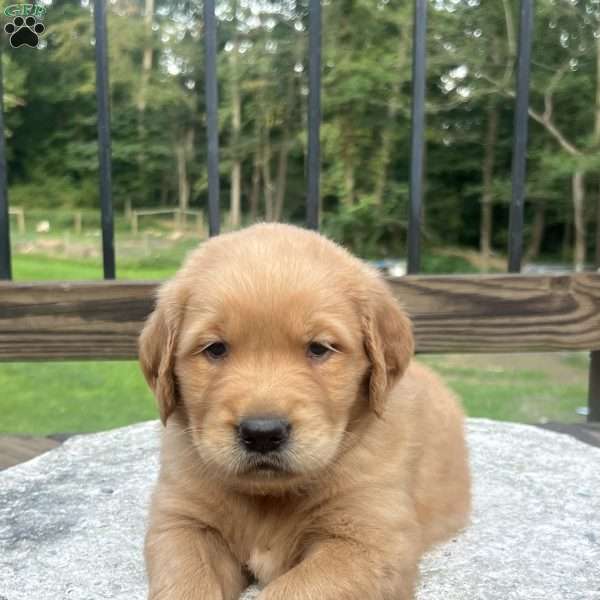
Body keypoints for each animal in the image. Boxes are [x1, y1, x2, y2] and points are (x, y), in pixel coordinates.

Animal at [139, 223, 468, 596]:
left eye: (320, 348)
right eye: (215, 349)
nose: (262, 434)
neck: (269, 498)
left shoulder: (370, 540)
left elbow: (294, 588)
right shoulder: (182, 522)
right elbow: (186, 582)